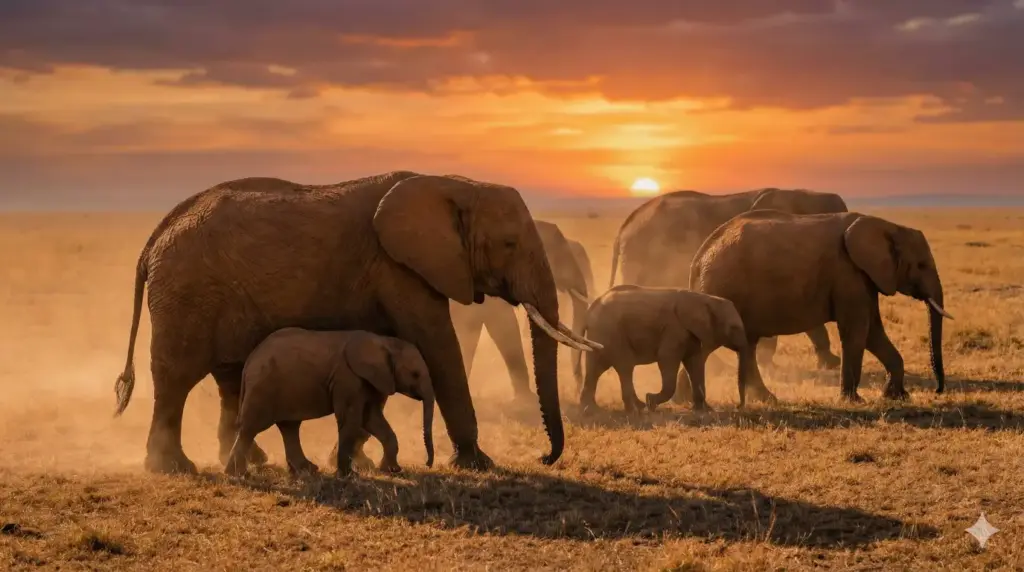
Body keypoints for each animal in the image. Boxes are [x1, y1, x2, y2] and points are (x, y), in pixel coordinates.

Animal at [225, 328, 434, 477]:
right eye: (415, 374)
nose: (427, 464)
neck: (384, 342)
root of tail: (250, 360)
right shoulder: (347, 379)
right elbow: (351, 420)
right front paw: (349, 476)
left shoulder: (367, 382)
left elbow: (371, 419)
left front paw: (392, 471)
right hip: (262, 387)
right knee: (251, 427)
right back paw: (237, 474)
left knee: (289, 427)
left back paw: (308, 470)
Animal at [574, 285, 748, 412]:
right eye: (733, 328)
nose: (738, 407)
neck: (705, 299)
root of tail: (590, 310)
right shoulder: (674, 330)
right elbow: (666, 359)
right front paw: (651, 400)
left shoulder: (690, 333)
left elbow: (695, 363)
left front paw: (705, 410)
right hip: (611, 332)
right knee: (624, 366)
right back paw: (637, 408)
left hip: (600, 335)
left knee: (596, 368)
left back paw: (591, 409)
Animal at [689, 209, 953, 405]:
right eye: (921, 265)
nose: (938, 391)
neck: (889, 226)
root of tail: (698, 258)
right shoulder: (847, 273)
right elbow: (857, 330)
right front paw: (854, 401)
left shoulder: (864, 277)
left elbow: (873, 332)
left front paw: (897, 397)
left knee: (749, 345)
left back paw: (767, 399)